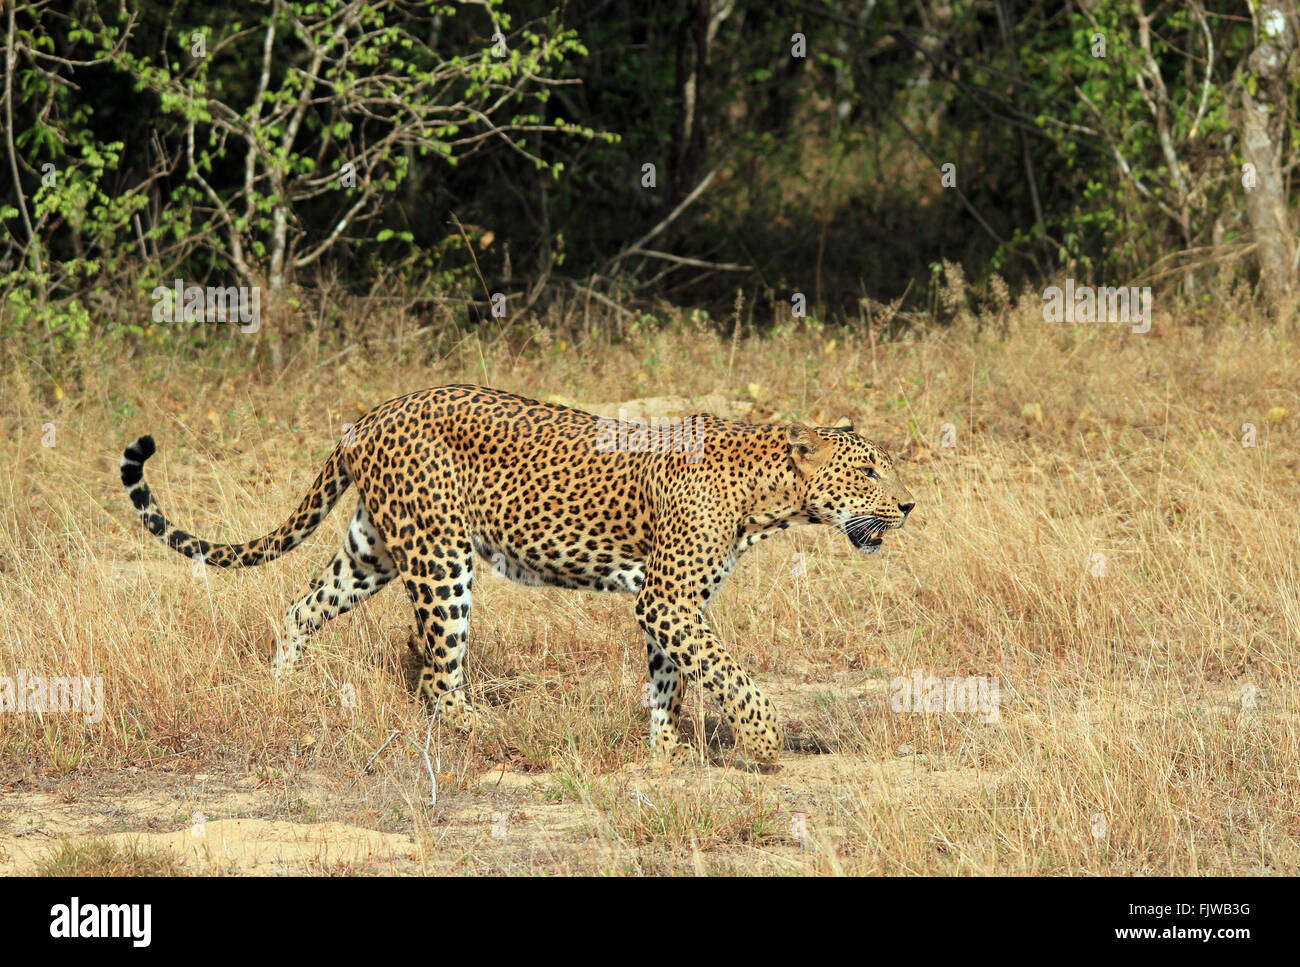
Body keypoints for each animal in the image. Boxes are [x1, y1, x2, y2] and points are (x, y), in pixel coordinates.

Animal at [122, 382, 915, 764]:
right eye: (870, 470)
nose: (909, 504)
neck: (769, 499)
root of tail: (371, 414)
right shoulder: (669, 599)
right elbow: (729, 673)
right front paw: (763, 742)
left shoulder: (669, 605)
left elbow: (672, 678)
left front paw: (663, 752)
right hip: (441, 557)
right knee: (438, 672)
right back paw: (491, 730)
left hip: (375, 547)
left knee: (301, 605)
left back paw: (282, 690)